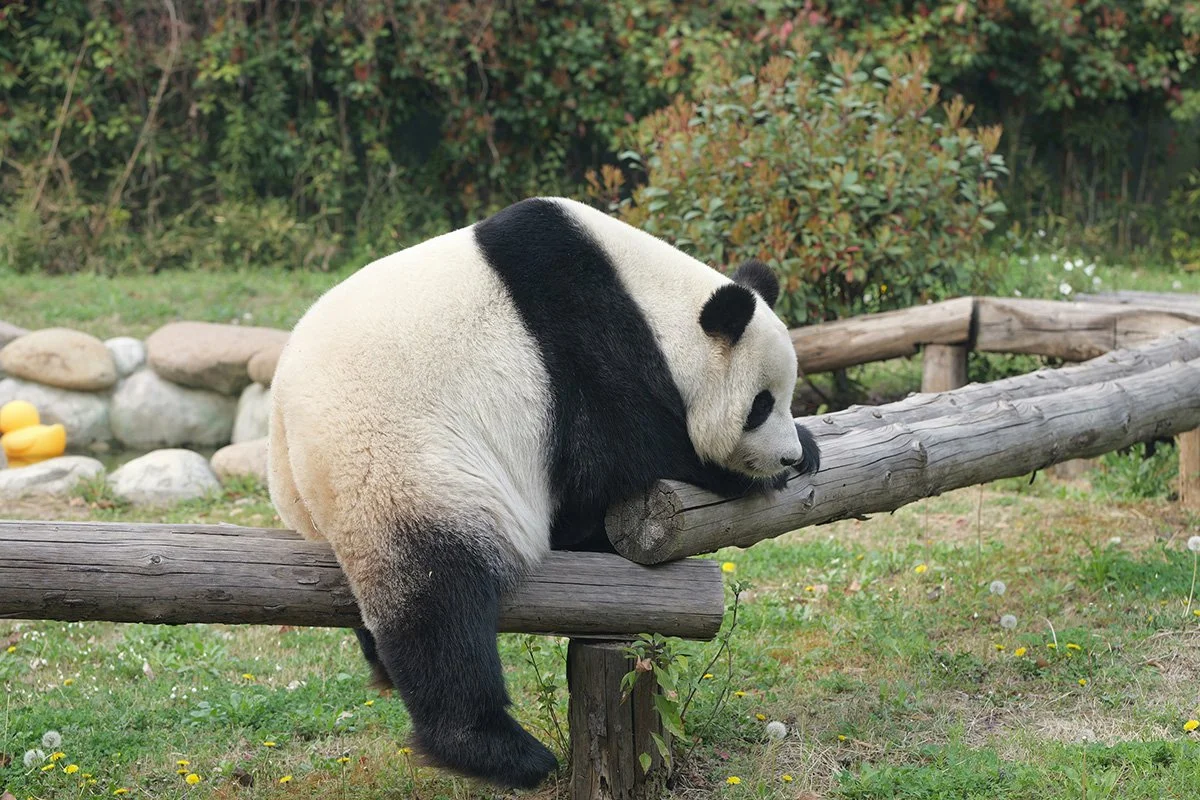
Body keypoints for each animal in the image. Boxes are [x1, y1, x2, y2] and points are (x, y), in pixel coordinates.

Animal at [267, 197, 820, 788]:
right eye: (760, 404)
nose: (785, 456)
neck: (653, 304)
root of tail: (284, 432)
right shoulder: (583, 343)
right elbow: (624, 453)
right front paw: (751, 472)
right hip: (401, 467)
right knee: (439, 607)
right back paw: (500, 750)